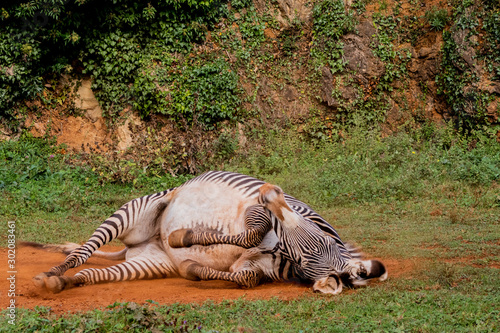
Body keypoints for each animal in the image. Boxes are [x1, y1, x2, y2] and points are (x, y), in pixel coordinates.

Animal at [30, 171, 386, 294]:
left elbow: (247, 277)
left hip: (149, 263)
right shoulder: (258, 212)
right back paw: (51, 274)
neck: (281, 250)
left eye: (304, 257)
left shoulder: (254, 266)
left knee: (90, 275)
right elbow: (251, 234)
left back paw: (61, 283)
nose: (271, 191)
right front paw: (183, 236)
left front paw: (191, 266)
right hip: (136, 208)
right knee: (84, 251)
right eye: (323, 238)